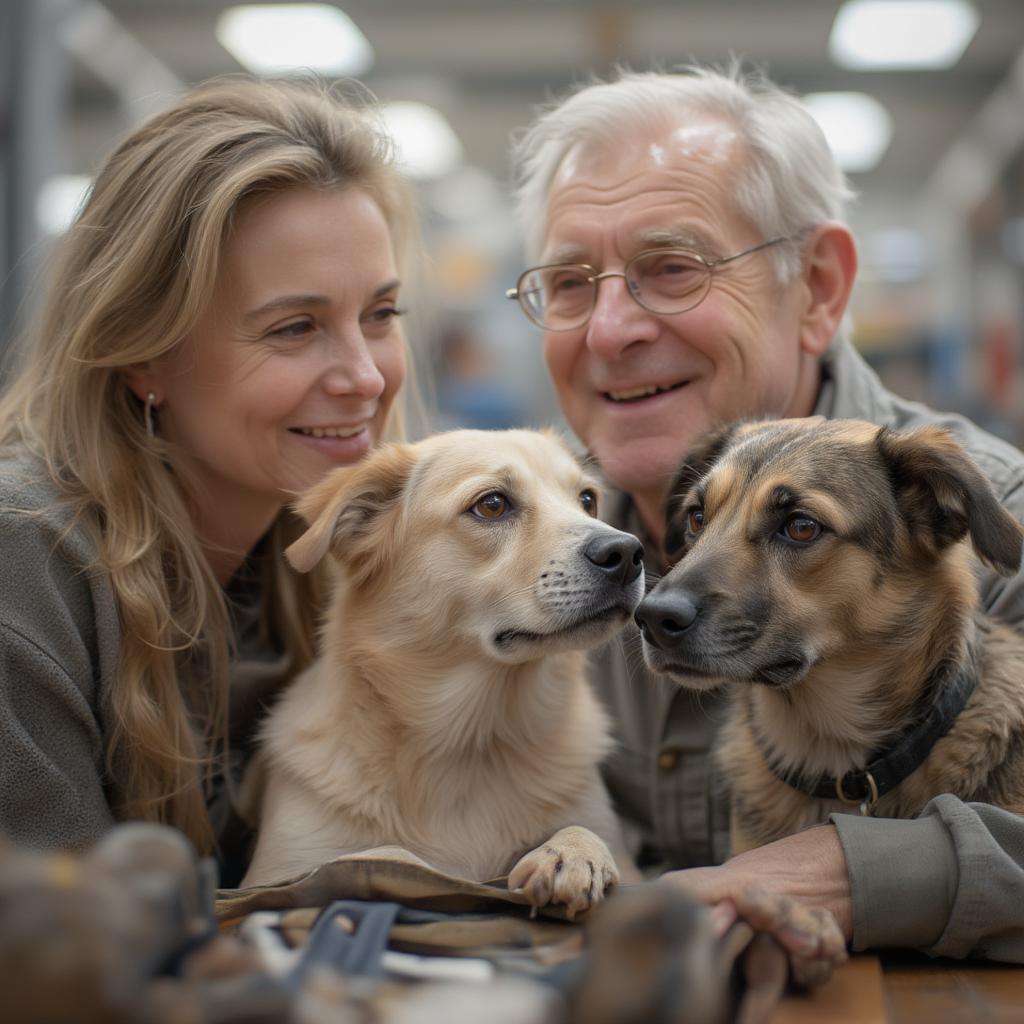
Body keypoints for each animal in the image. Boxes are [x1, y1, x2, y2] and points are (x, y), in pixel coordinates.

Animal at [240, 428, 643, 917]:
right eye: (492, 505)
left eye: (587, 499)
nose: (628, 551)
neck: (470, 745)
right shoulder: (269, 878)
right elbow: (379, 856)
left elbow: (587, 830)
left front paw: (570, 852)